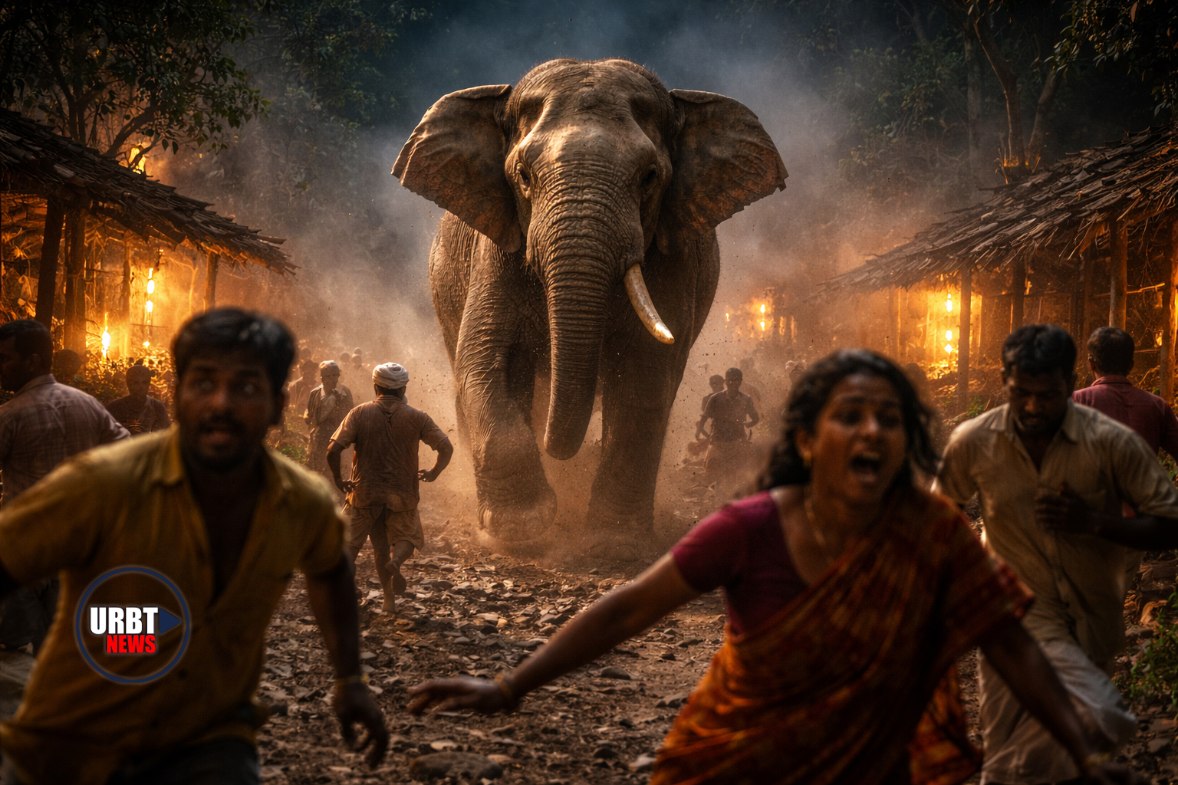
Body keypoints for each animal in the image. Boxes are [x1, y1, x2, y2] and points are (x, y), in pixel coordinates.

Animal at [393, 57, 786, 554]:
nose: (558, 450)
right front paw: (520, 529)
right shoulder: (495, 250)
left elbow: (646, 379)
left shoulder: (672, 259)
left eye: (649, 177)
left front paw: (613, 541)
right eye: (523, 175)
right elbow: (485, 362)